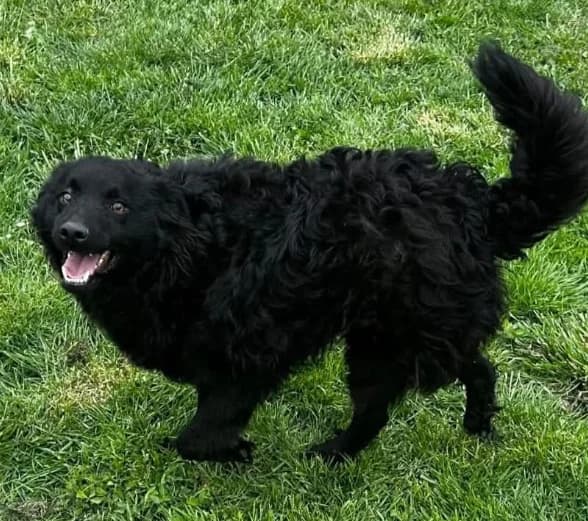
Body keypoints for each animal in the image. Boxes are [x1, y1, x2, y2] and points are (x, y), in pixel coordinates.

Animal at [32, 43, 588, 463]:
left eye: (119, 205)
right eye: (65, 196)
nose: (72, 233)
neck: (191, 242)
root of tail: (473, 204)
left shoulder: (246, 356)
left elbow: (200, 436)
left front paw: (234, 453)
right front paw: (233, 450)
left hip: (387, 338)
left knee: (381, 407)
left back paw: (332, 453)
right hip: (409, 332)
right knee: (475, 367)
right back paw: (474, 425)